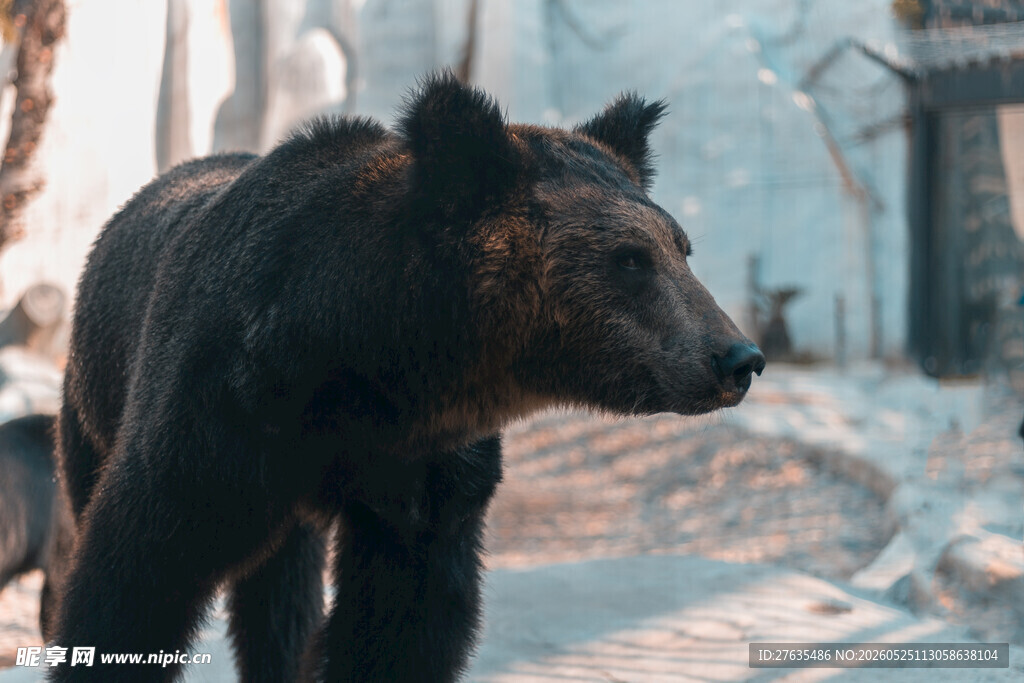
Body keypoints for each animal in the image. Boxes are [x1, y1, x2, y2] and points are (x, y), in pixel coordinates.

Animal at [49, 71, 764, 682]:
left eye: (680, 248)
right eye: (630, 259)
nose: (738, 358)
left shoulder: (426, 473)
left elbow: (402, 623)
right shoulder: (218, 419)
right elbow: (133, 583)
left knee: (281, 596)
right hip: (93, 400)